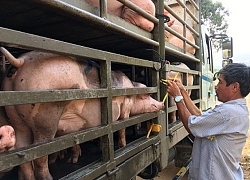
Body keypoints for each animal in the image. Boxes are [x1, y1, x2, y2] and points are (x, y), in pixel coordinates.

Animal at [0, 47, 164, 179]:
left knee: (23, 153)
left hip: (15, 117)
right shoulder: (125, 109)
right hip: (45, 115)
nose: (161, 104)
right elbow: (122, 128)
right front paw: (122, 146)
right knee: (39, 156)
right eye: (147, 97)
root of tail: (20, 62)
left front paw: (75, 159)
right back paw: (49, 177)